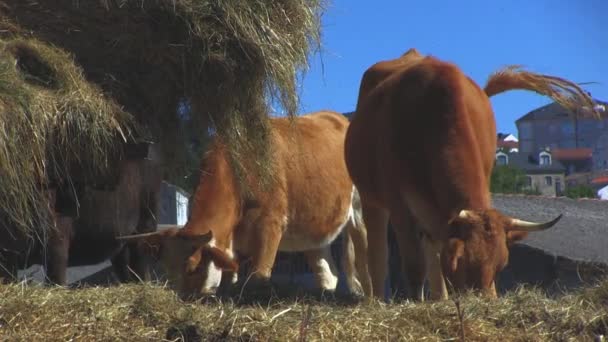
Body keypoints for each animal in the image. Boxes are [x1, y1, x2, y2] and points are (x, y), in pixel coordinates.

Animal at [0, 142, 162, 286]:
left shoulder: (56, 244)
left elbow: (56, 281)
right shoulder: (7, 257)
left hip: (144, 226)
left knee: (141, 269)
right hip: (121, 243)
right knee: (126, 270)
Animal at [119, 111, 370, 300]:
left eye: (193, 268)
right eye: (166, 269)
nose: (183, 298)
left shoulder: (270, 225)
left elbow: (258, 276)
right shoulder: (232, 243)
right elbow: (230, 277)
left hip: (359, 210)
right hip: (313, 228)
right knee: (328, 273)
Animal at [346, 48, 600, 302]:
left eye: (501, 265)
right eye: (460, 262)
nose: (484, 300)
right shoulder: (400, 207)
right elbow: (414, 267)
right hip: (371, 199)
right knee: (377, 255)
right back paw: (378, 299)